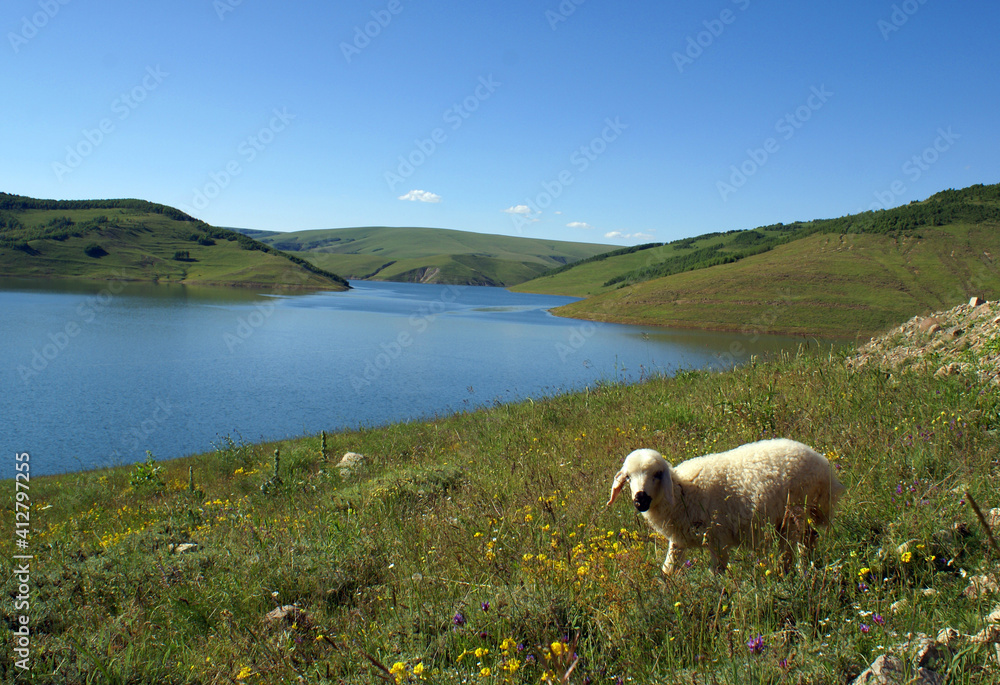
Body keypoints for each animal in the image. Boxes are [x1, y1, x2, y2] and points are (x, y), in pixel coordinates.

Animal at [607, 438, 845, 574]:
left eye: (657, 474)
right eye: (628, 477)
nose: (640, 500)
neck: (682, 491)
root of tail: (825, 466)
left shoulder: (717, 538)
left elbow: (717, 573)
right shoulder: (679, 540)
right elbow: (668, 570)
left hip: (797, 509)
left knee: (800, 544)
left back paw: (799, 570)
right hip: (787, 517)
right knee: (809, 538)